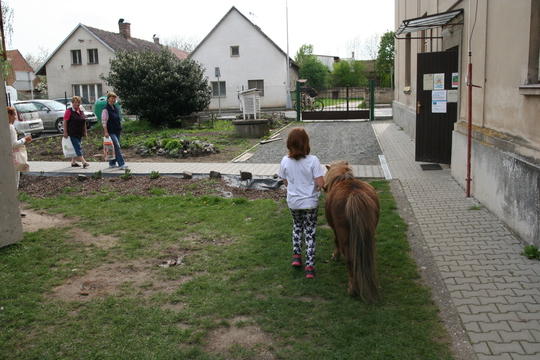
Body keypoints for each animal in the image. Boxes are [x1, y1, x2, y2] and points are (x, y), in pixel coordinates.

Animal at [324, 160, 380, 300]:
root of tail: (355, 194)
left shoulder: (335, 228)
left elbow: (335, 241)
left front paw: (335, 256)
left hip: (344, 235)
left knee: (349, 259)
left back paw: (352, 288)